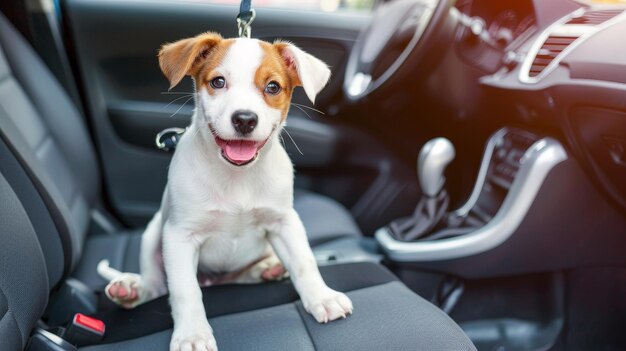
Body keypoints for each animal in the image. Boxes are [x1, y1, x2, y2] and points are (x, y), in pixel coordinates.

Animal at [97, 31, 352, 350]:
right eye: (218, 82)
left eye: (273, 87)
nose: (244, 119)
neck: (237, 176)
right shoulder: (179, 236)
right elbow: (185, 290)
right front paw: (192, 334)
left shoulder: (285, 222)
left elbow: (304, 262)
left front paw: (322, 297)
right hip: (153, 233)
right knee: (157, 284)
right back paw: (131, 288)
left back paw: (267, 269)